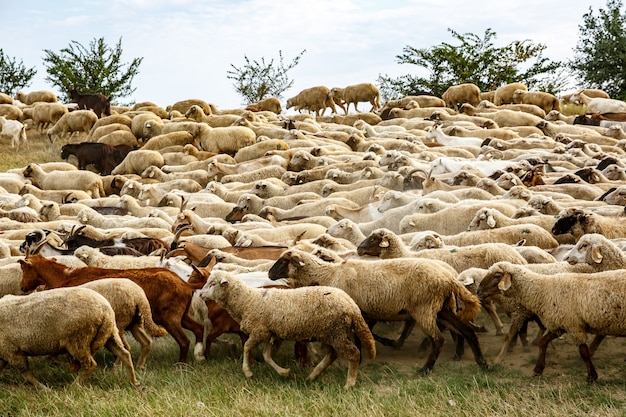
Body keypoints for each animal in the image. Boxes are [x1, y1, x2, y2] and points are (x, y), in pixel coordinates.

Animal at [0, 286, 138, 386]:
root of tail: (106, 310)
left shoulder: (11, 351)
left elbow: (27, 375)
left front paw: (43, 389)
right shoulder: (6, 353)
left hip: (78, 340)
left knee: (90, 365)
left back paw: (74, 387)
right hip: (109, 334)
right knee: (125, 354)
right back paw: (134, 382)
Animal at [197, 268, 372, 388]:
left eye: (213, 284)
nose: (200, 295)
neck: (247, 300)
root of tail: (352, 306)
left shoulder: (260, 331)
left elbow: (246, 347)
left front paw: (247, 372)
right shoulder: (272, 334)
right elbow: (266, 356)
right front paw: (285, 372)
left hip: (336, 333)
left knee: (354, 354)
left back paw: (349, 384)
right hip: (329, 333)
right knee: (331, 355)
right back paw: (312, 376)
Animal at [266, 249, 488, 372]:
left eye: (284, 261)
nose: (269, 273)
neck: (327, 275)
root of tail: (449, 278)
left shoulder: (355, 312)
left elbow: (358, 339)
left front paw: (359, 358)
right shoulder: (363, 313)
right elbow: (362, 336)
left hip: (424, 308)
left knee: (438, 339)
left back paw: (426, 369)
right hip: (441, 308)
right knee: (466, 331)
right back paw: (482, 363)